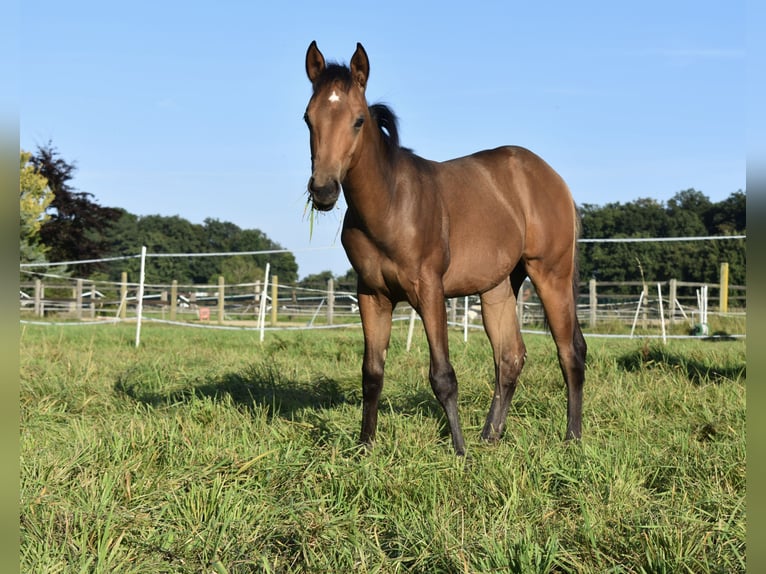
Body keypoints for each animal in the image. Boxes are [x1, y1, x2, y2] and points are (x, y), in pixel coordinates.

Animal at [304, 40, 584, 456]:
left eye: (358, 120)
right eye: (308, 119)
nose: (323, 191)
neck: (391, 204)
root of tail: (550, 177)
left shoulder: (429, 290)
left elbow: (443, 375)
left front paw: (459, 452)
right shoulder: (372, 295)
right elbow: (372, 374)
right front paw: (365, 448)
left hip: (551, 273)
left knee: (570, 352)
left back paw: (571, 439)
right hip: (497, 286)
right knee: (510, 357)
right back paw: (490, 437)